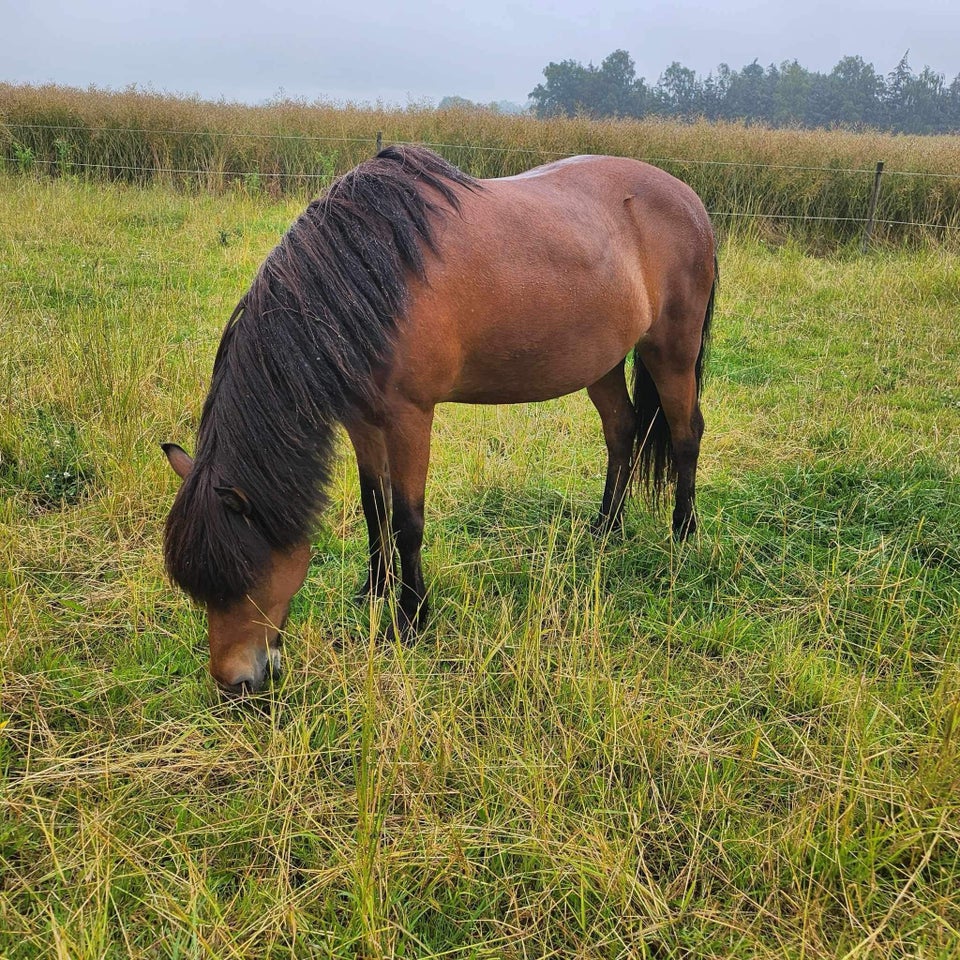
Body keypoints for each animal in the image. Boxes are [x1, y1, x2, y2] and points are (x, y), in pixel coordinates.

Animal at [163, 144, 712, 696]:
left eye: (242, 576)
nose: (235, 683)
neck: (369, 277)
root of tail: (689, 198)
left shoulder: (409, 417)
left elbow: (407, 521)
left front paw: (410, 620)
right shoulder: (362, 419)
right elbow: (374, 506)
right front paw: (373, 590)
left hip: (672, 351)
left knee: (686, 433)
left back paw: (682, 534)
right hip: (601, 363)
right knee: (621, 430)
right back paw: (606, 528)